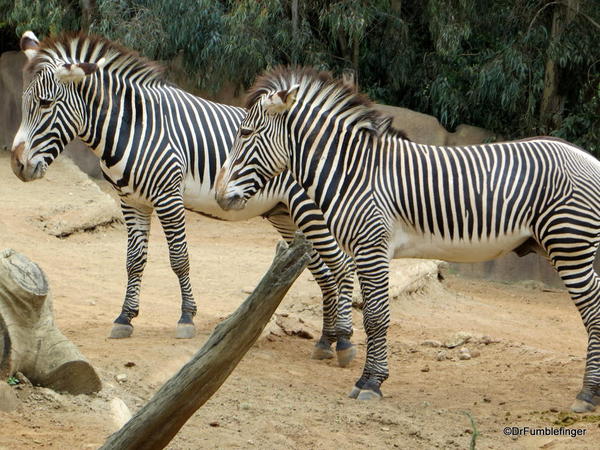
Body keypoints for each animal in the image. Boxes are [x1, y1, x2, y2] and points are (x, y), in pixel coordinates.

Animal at [11, 34, 356, 366]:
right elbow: (133, 260)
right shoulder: (131, 201)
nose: (17, 165)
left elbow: (179, 258)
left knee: (342, 266)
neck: (134, 127)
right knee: (324, 272)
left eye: (45, 103)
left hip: (314, 211)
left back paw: (343, 341)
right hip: (284, 213)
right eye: (24, 103)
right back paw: (325, 341)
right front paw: (125, 317)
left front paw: (187, 317)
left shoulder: (168, 196)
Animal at [216, 65, 600, 414]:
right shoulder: (362, 250)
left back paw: (587, 394)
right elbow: (370, 311)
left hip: (569, 245)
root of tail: (588, 157)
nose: (221, 197)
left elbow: (376, 317)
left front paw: (370, 383)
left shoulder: (372, 247)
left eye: (245, 132)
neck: (354, 172)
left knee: (593, 310)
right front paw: (368, 374)